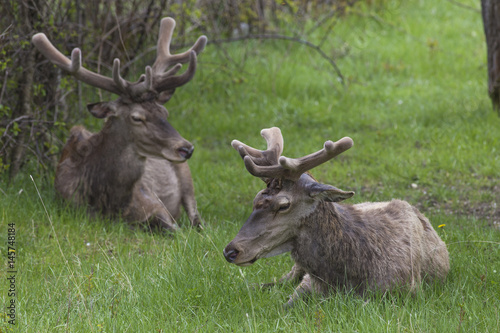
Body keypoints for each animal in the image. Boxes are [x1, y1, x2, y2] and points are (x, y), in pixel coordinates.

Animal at [32, 17, 207, 231]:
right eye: (137, 117)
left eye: (164, 112)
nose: (186, 148)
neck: (111, 205)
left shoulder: (156, 205)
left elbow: (175, 230)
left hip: (186, 177)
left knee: (196, 217)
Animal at [223, 126, 450, 306]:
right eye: (255, 199)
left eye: (283, 205)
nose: (230, 251)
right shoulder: (308, 283)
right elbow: (286, 305)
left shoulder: (405, 291)